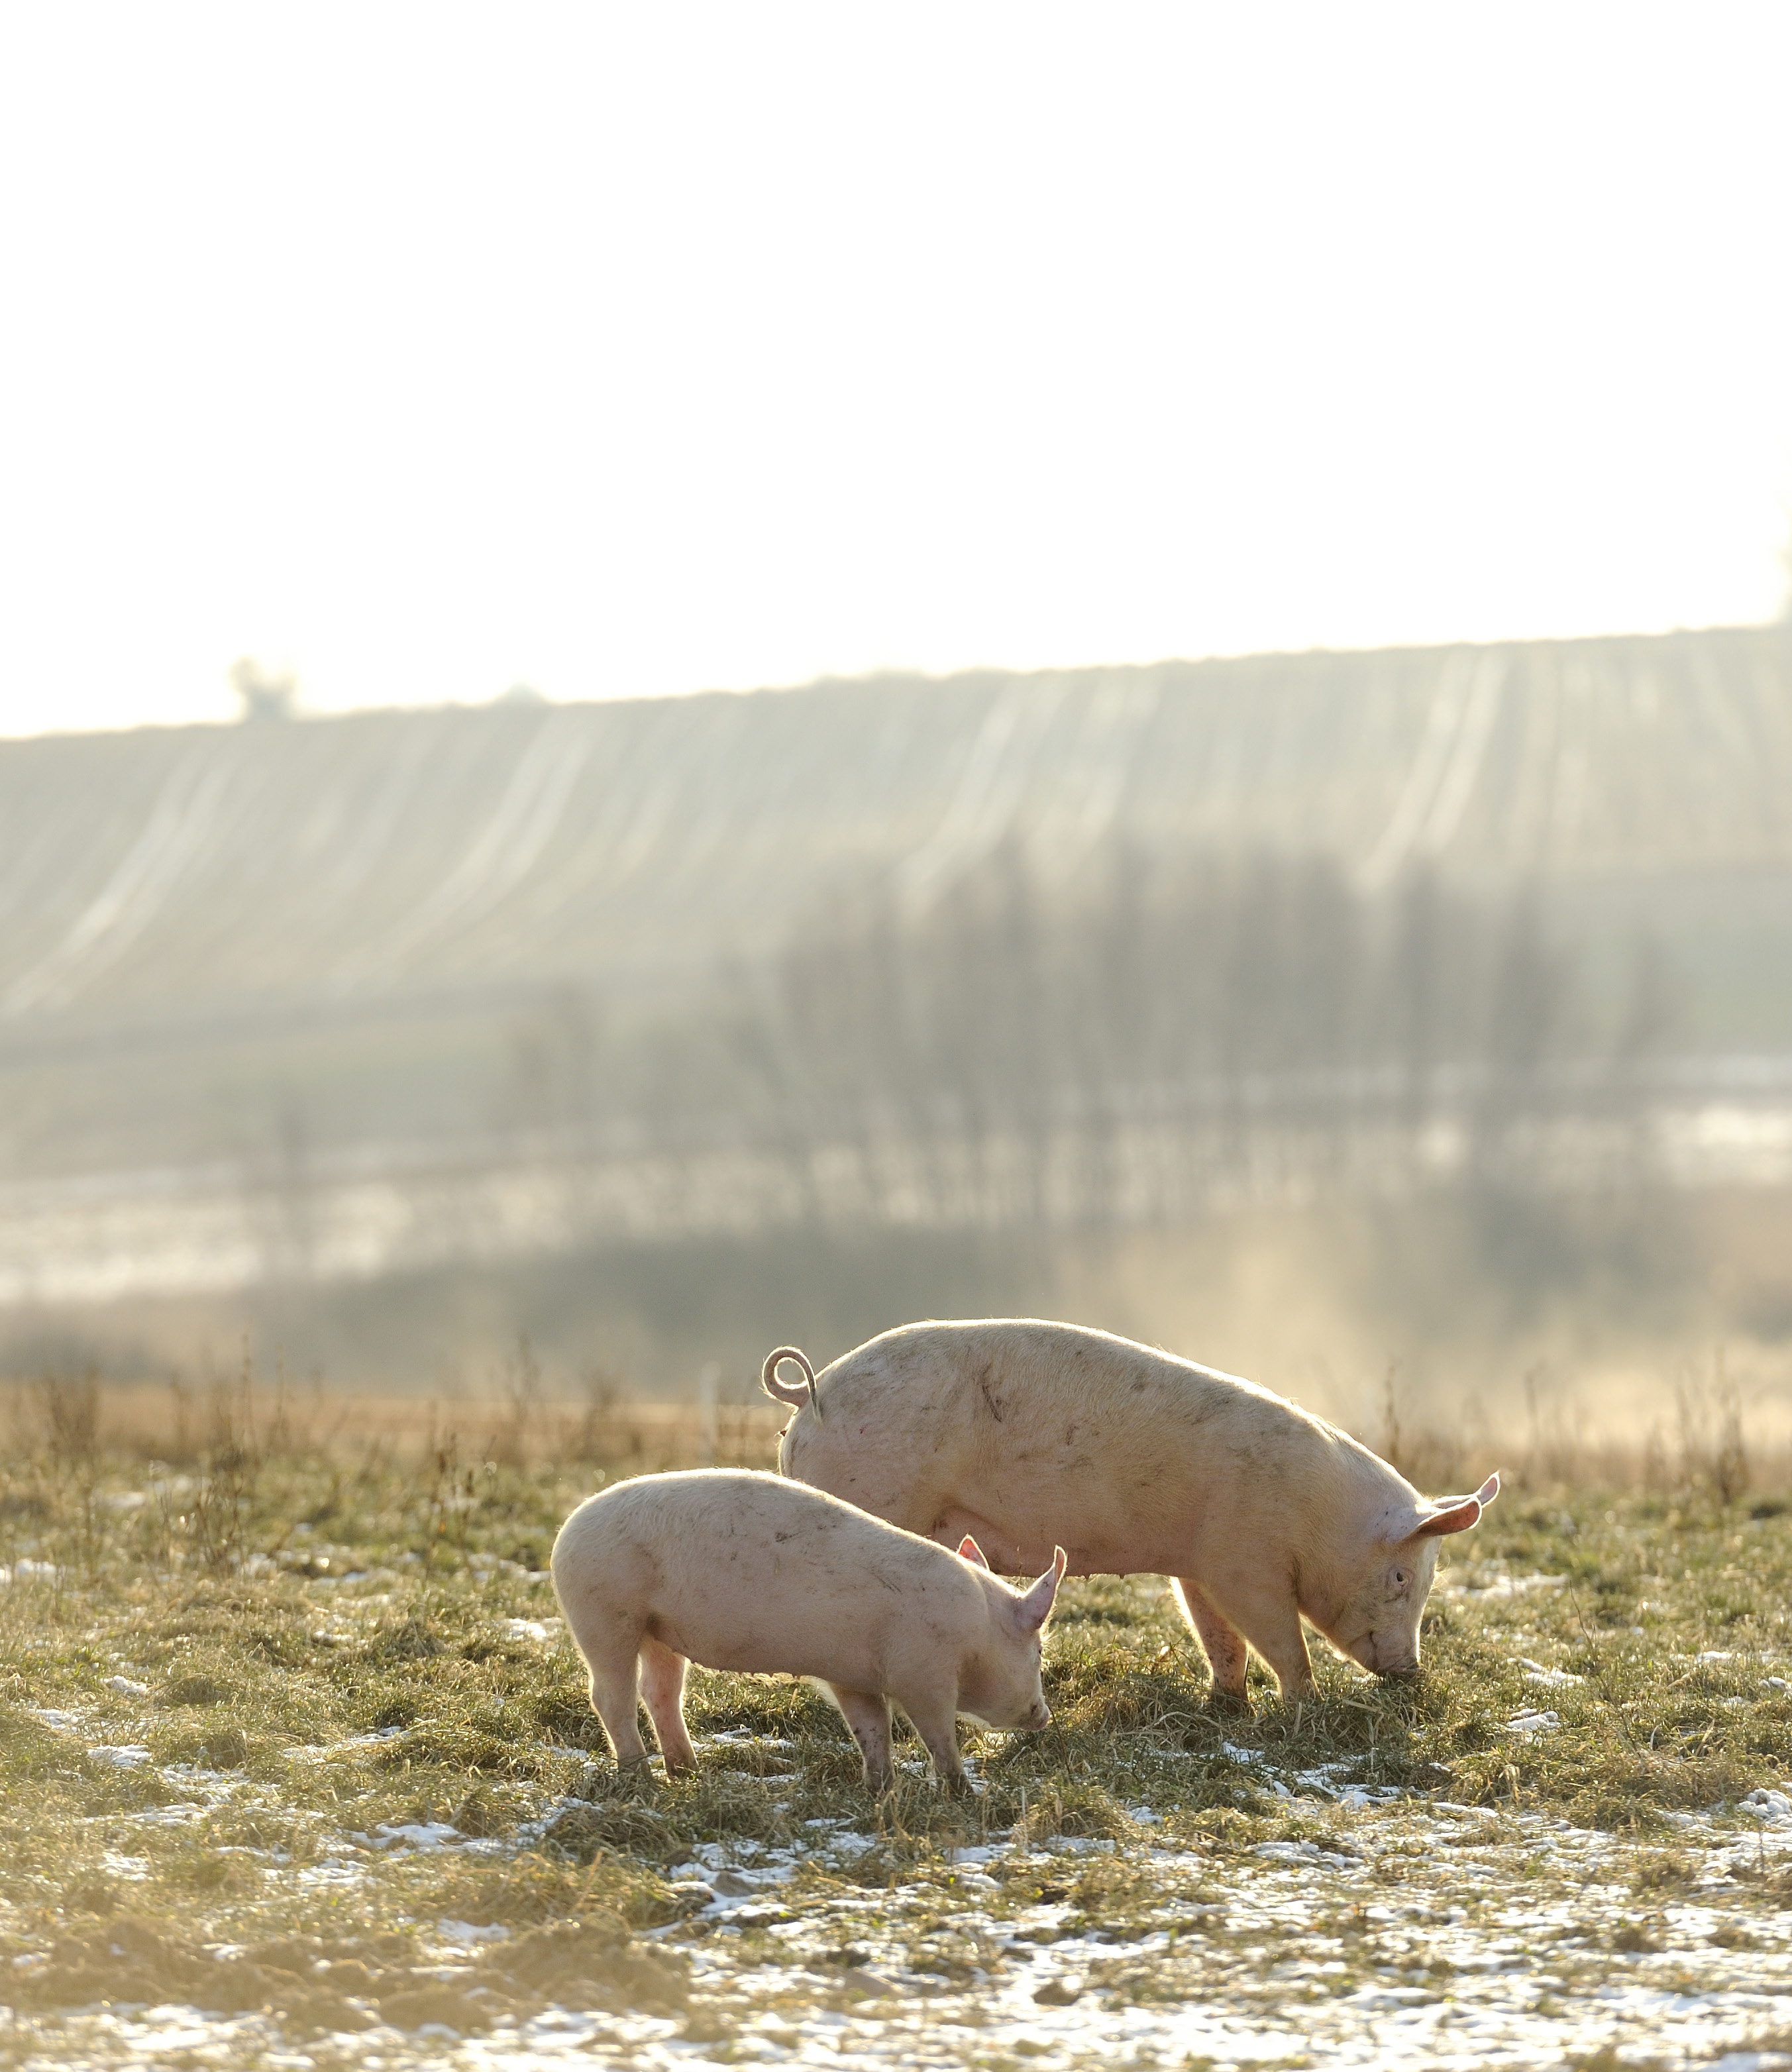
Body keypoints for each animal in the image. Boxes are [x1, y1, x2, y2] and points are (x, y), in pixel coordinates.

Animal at [547, 1467, 1061, 1790]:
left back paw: (688, 1772)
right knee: (610, 1697)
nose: (1043, 1716)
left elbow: (871, 1729)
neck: (976, 1631)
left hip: (657, 1631)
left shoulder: (853, 1677)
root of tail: (566, 1531)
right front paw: (961, 1791)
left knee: (660, 1693)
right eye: (1037, 1651)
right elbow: (937, 1734)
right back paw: (641, 1778)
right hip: (605, 1615)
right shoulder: (924, 1675)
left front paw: (881, 1788)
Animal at [766, 1325, 1500, 1698]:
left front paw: (1226, 1706)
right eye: (1401, 1578)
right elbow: (1279, 1638)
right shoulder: (1245, 1561)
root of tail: (809, 1397)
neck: (1315, 1515)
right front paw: (1303, 1707)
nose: (1411, 1672)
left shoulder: (1197, 1563)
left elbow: (1219, 1637)